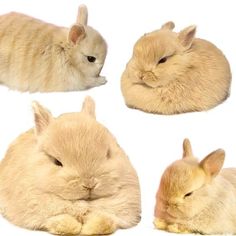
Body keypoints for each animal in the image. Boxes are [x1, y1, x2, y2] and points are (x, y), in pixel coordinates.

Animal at [0, 97, 141, 235]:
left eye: (108, 154)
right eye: (57, 162)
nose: (89, 184)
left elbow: (104, 221)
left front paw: (89, 229)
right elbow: (57, 220)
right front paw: (73, 228)